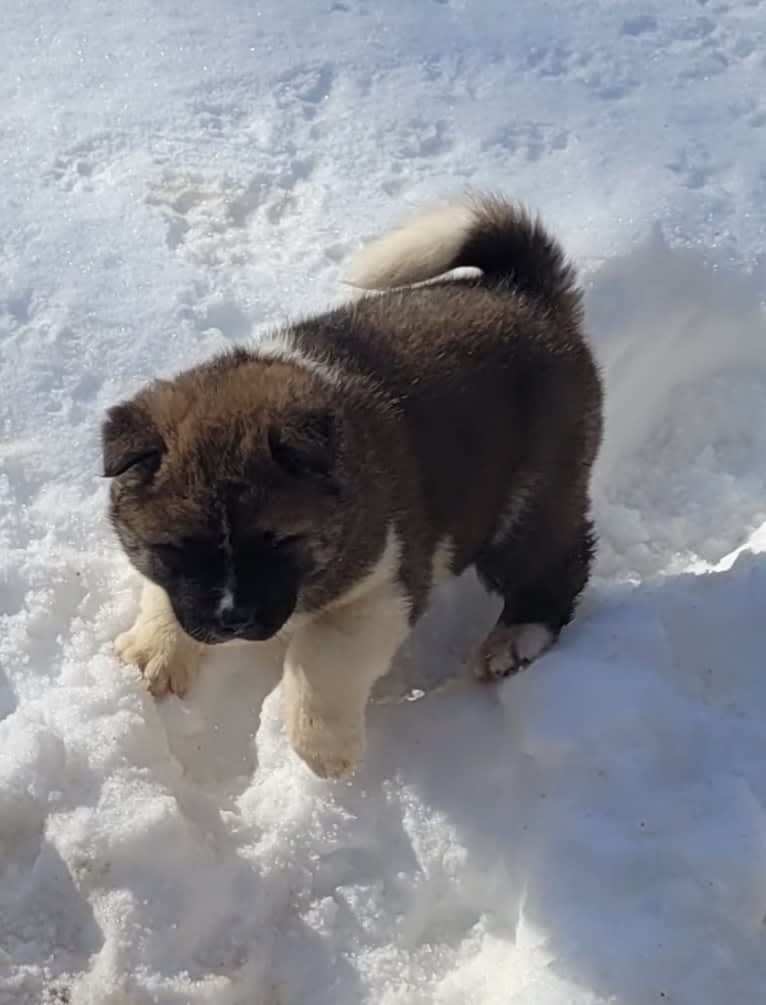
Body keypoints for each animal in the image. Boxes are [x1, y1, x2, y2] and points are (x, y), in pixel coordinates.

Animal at [103, 193, 603, 775]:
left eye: (278, 541)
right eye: (178, 546)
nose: (231, 620)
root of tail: (525, 290)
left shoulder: (385, 584)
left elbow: (322, 654)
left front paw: (322, 749)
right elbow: (162, 592)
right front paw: (150, 653)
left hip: (530, 494)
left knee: (555, 563)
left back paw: (514, 639)